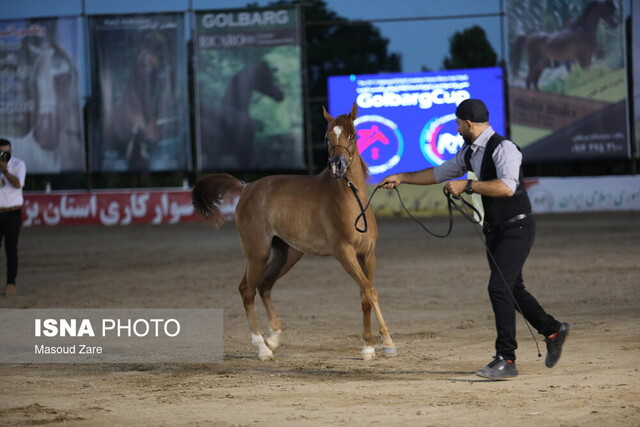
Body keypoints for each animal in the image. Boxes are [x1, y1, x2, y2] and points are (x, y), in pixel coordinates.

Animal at [192, 103, 398, 362]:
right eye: (326, 137)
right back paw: (262, 348)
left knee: (264, 286)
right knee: (247, 290)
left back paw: (274, 338)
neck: (352, 201)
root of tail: (247, 187)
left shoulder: (368, 255)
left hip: (287, 254)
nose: (337, 166)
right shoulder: (344, 253)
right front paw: (386, 342)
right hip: (257, 253)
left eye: (352, 135)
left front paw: (369, 346)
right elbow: (370, 290)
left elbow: (365, 295)